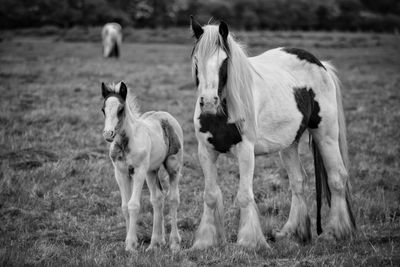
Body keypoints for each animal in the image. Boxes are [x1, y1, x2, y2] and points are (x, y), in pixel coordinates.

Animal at [100, 82, 183, 253]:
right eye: (103, 109)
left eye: (120, 109)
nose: (108, 134)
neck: (126, 143)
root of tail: (165, 115)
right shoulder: (121, 172)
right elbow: (125, 206)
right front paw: (130, 243)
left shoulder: (138, 171)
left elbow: (133, 205)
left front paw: (131, 245)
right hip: (151, 171)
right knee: (157, 198)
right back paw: (155, 243)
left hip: (173, 166)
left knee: (173, 198)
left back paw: (174, 243)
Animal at [189, 16, 354, 250]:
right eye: (196, 60)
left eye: (224, 61)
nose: (209, 102)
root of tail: (321, 64)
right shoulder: (205, 151)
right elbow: (210, 195)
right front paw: (205, 242)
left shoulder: (245, 151)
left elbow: (244, 196)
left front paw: (248, 242)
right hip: (289, 144)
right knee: (297, 182)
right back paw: (292, 232)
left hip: (326, 134)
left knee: (337, 177)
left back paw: (336, 232)